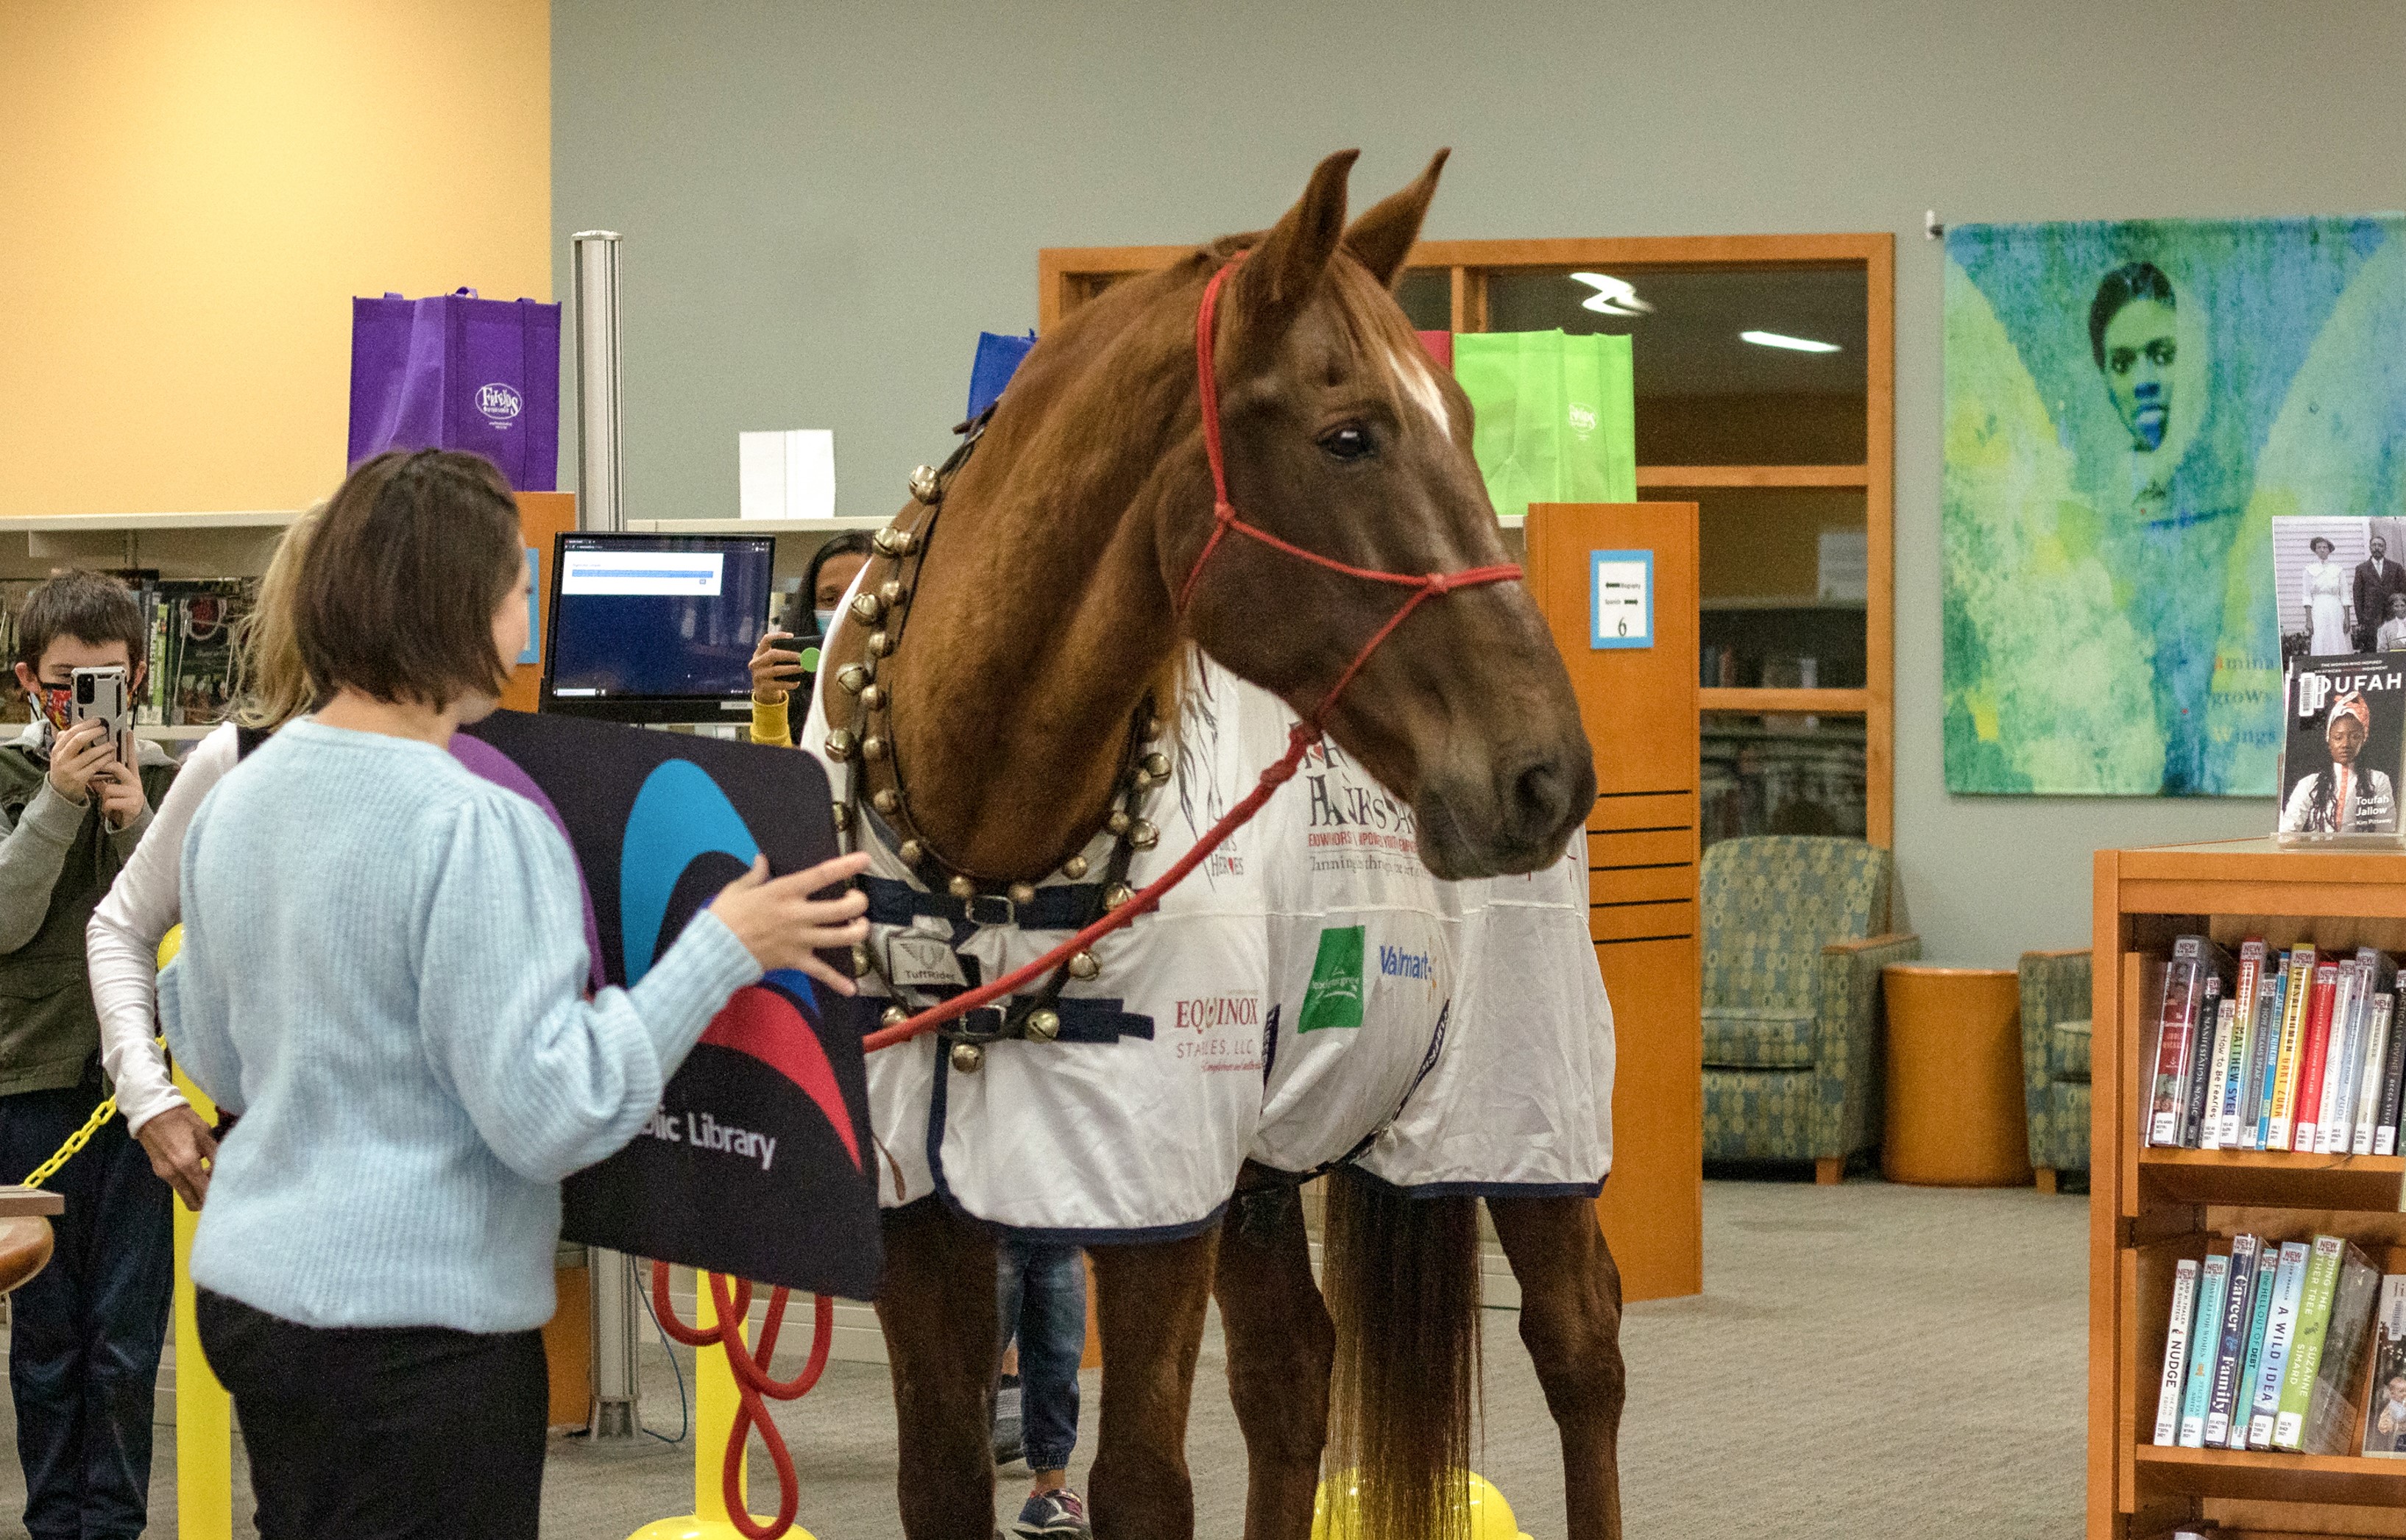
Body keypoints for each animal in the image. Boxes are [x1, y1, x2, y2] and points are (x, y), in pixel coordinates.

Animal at [818, 147, 1626, 1540]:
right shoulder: (924, 1209)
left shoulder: (1153, 1198)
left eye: (1471, 425)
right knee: (1291, 1376)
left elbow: (1142, 1480)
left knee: (1580, 1351)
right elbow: (942, 1474)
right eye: (1349, 435)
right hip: (1265, 1157)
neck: (986, 839)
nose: (1544, 772)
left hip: (1518, 1108)